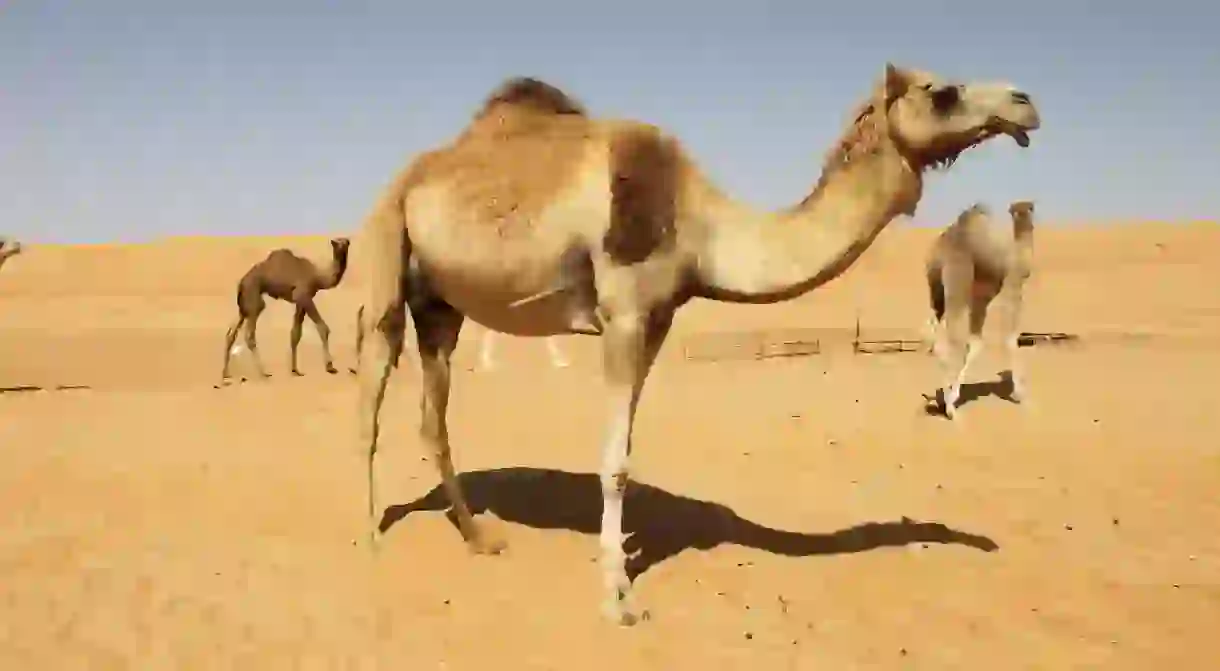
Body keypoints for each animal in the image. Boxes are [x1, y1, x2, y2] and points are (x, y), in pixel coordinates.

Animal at [220, 236, 348, 383]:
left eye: (346, 242)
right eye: (336, 242)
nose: (340, 245)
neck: (317, 277)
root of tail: (241, 284)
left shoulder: (301, 300)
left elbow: (295, 334)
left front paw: (295, 370)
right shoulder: (303, 295)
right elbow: (322, 327)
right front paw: (330, 367)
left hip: (243, 305)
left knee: (231, 334)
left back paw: (226, 374)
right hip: (254, 297)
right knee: (250, 334)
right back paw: (264, 373)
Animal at [927, 200, 1034, 419]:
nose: (1024, 217)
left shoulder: (981, 298)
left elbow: (976, 342)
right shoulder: (1012, 287)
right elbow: (1010, 339)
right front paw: (1020, 394)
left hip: (936, 288)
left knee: (934, 329)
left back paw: (943, 400)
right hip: (957, 284)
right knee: (951, 337)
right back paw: (951, 409)